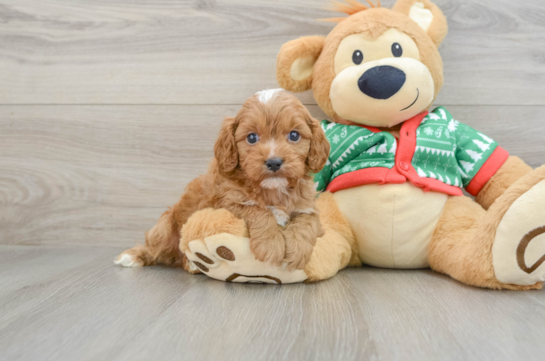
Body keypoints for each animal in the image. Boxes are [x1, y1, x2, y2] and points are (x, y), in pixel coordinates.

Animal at [117, 89, 330, 270]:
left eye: (294, 135)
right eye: (251, 138)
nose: (274, 162)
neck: (272, 190)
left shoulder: (307, 206)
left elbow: (306, 221)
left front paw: (297, 250)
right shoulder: (227, 204)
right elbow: (257, 210)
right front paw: (271, 245)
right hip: (165, 226)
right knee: (156, 249)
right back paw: (136, 256)